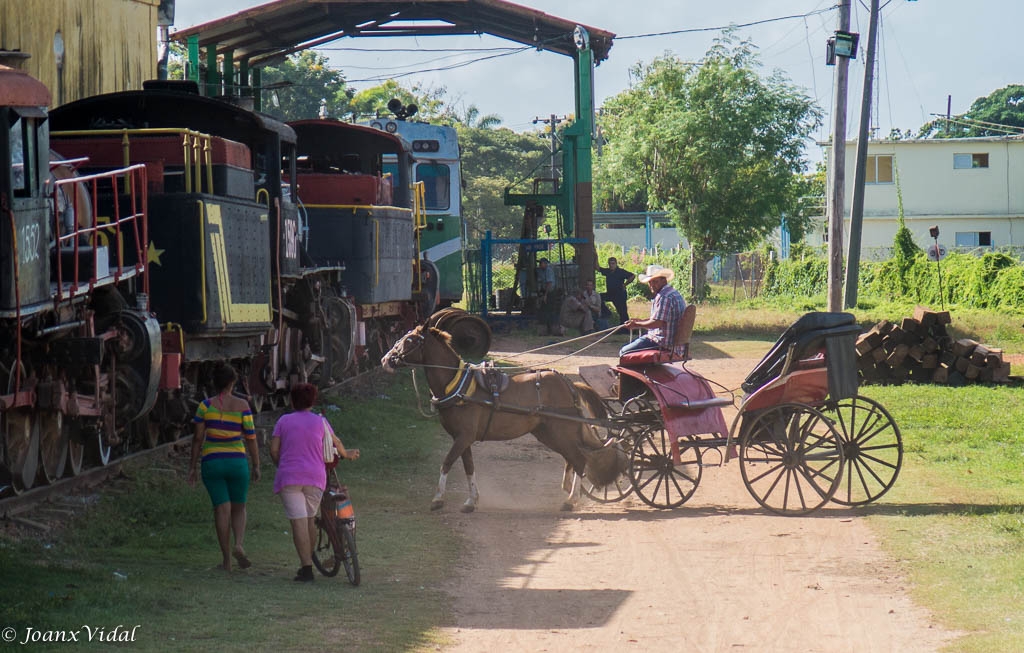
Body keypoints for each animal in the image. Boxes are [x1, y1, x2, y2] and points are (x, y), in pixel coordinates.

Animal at [380, 325, 618, 513]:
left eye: (409, 341)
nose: (385, 360)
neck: (457, 386)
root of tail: (568, 383)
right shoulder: (462, 438)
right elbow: (469, 467)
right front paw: (471, 501)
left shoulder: (463, 436)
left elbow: (446, 462)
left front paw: (438, 499)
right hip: (548, 433)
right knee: (572, 458)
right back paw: (570, 493)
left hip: (561, 431)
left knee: (579, 460)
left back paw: (571, 501)